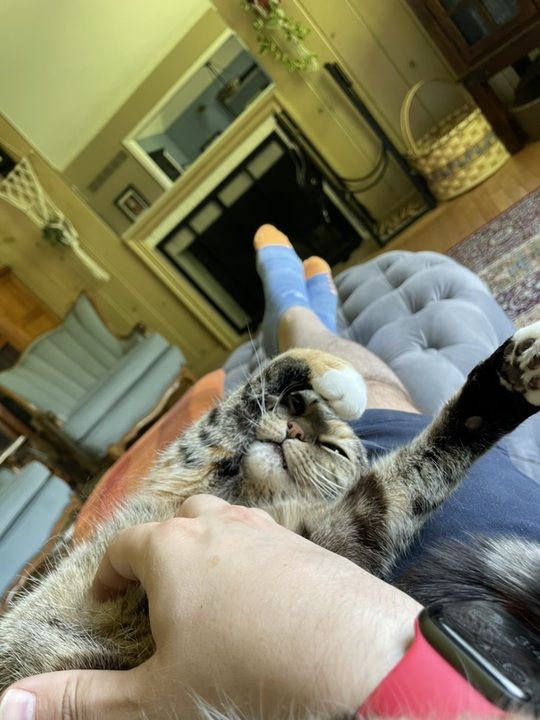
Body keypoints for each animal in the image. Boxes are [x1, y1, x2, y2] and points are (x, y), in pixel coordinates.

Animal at [1, 326, 540, 716]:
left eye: (333, 449)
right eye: (297, 407)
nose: (296, 424)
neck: (244, 495)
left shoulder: (340, 530)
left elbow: (410, 476)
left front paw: (501, 390)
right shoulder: (189, 460)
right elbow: (264, 380)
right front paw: (333, 374)